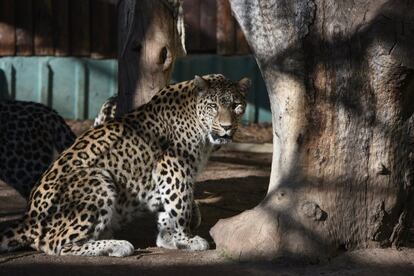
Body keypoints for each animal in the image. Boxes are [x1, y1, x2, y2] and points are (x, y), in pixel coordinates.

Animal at [0, 74, 249, 256]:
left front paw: (169, 238)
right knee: (54, 244)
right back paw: (117, 246)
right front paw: (184, 240)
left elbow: (174, 207)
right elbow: (179, 204)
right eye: (213, 106)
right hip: (97, 180)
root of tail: (30, 216)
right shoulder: (174, 165)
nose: (227, 127)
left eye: (236, 105)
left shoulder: (170, 173)